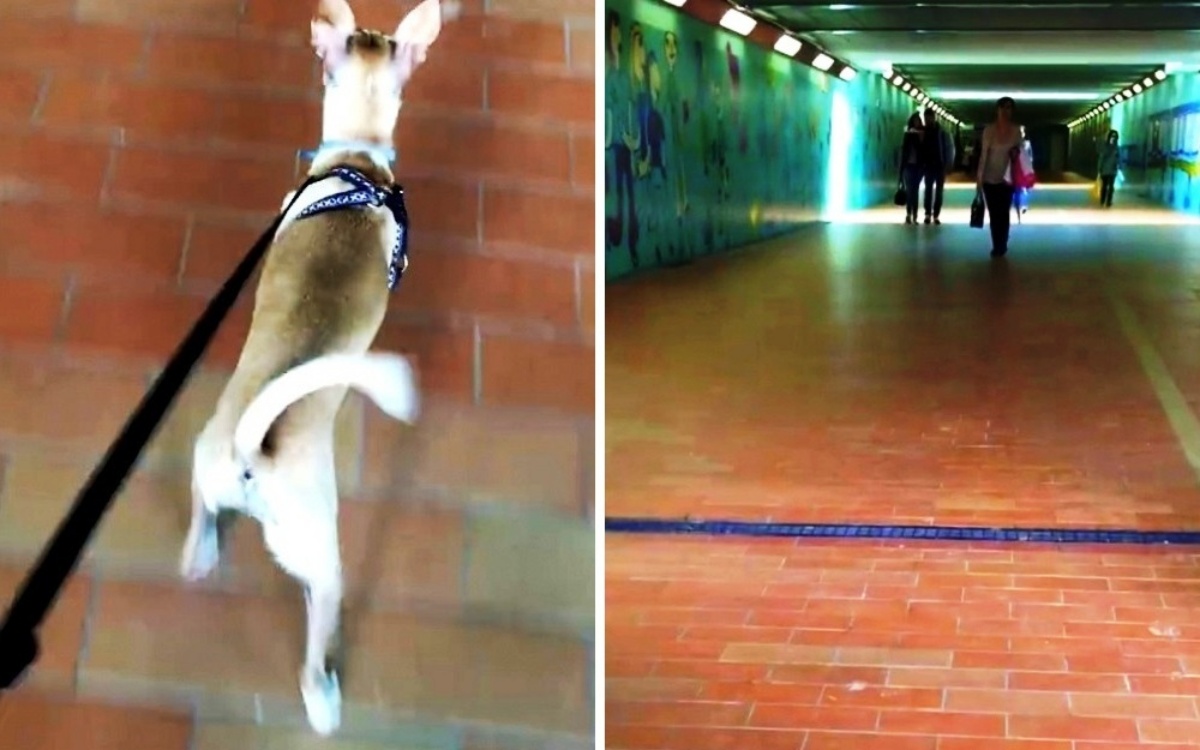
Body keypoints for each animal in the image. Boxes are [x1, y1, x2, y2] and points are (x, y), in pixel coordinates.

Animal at [180, 0, 451, 739]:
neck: (356, 160)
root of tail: (252, 451)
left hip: (205, 454)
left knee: (201, 510)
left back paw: (200, 553)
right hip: (323, 560)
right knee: (313, 648)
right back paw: (324, 701)